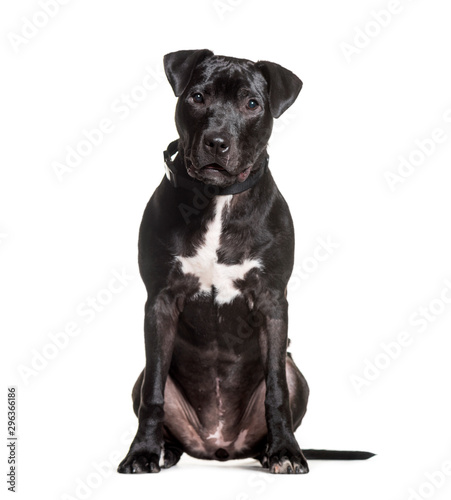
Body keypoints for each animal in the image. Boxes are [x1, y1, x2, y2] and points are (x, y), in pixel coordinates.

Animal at [117, 48, 374, 474]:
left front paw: (286, 452)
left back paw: (272, 450)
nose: (217, 142)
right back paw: (165, 450)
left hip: (295, 371)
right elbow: (153, 394)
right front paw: (141, 453)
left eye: (252, 104)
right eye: (198, 97)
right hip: (146, 379)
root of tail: (220, 445)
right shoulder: (160, 301)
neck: (219, 198)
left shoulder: (271, 301)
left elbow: (277, 392)